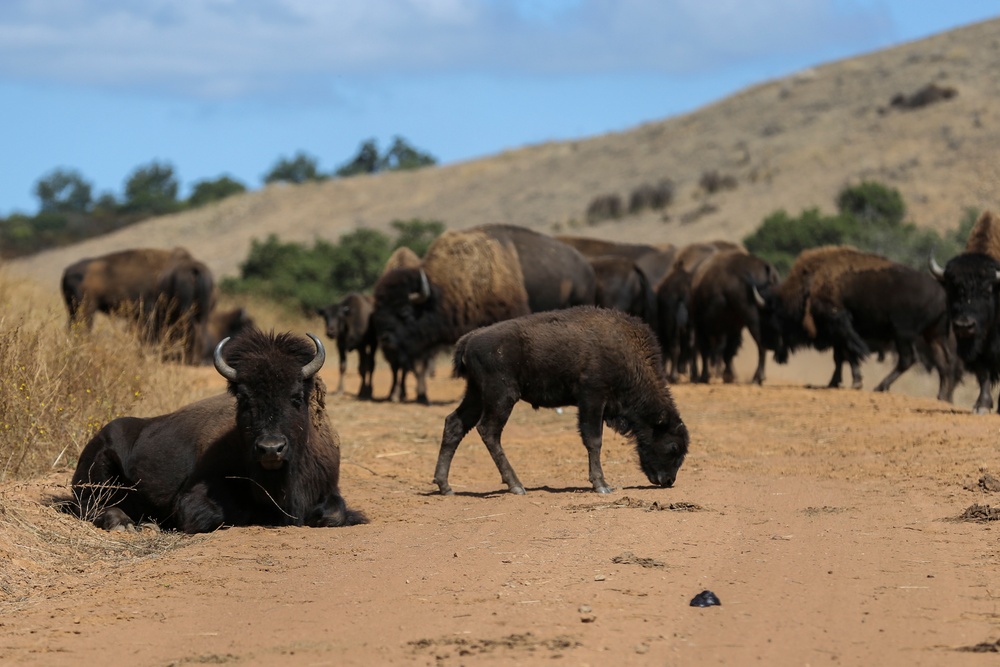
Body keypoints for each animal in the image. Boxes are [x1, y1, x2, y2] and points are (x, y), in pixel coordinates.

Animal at [70, 328, 368, 532]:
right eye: (245, 398)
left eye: (296, 397)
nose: (271, 449)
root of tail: (99, 436)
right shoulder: (194, 499)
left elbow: (334, 513)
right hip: (96, 476)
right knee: (91, 505)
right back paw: (126, 523)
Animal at [434, 308, 692, 496]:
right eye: (673, 447)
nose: (668, 480)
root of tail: (469, 339)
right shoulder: (592, 398)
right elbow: (594, 440)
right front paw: (602, 485)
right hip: (501, 397)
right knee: (488, 431)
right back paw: (516, 486)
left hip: (476, 395)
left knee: (455, 424)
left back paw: (445, 486)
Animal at [928, 210, 1000, 412]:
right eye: (952, 290)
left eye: (987, 291)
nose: (964, 325)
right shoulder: (973, 347)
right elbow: (983, 373)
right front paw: (982, 406)